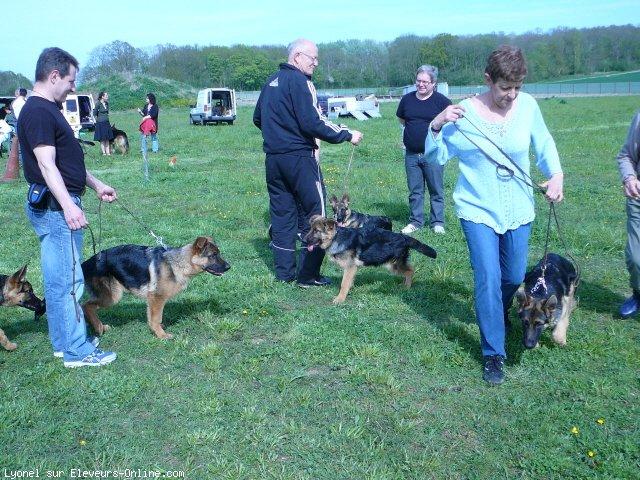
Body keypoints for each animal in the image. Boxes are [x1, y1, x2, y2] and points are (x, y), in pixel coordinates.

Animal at [80, 238, 230, 340]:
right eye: (213, 255)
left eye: (218, 253)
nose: (229, 267)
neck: (177, 263)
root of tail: (86, 263)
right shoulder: (157, 298)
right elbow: (157, 318)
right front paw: (161, 335)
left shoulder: (151, 301)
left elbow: (152, 318)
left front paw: (156, 330)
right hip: (112, 297)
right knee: (86, 305)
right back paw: (99, 327)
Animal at [304, 217, 436, 304]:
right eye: (311, 229)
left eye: (316, 231)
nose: (303, 240)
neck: (336, 237)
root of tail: (404, 237)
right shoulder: (352, 269)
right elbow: (349, 282)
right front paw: (349, 290)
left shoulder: (350, 267)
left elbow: (344, 284)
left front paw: (340, 299)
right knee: (410, 269)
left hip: (392, 265)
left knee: (410, 271)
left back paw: (406, 287)